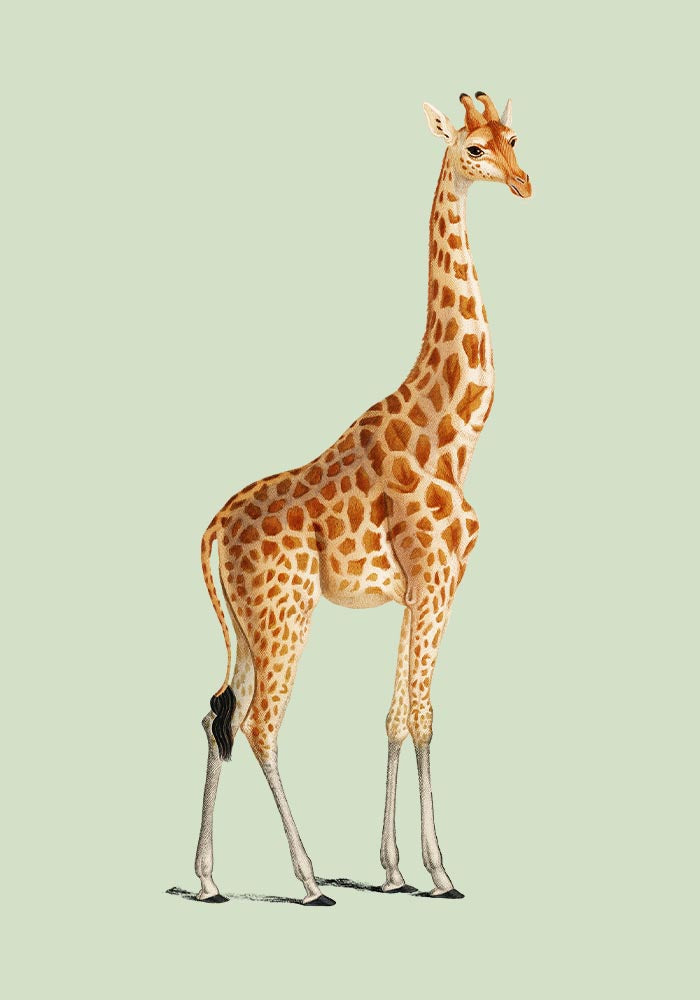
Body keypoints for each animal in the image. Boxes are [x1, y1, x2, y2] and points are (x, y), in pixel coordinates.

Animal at [193, 92, 531, 905]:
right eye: (473, 148)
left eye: (515, 138)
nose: (524, 182)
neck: (454, 434)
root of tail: (215, 525)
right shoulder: (438, 578)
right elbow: (426, 715)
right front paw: (441, 873)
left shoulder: (417, 589)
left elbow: (395, 716)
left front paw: (396, 869)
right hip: (285, 611)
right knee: (260, 724)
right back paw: (310, 881)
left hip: (248, 623)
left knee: (217, 712)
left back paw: (210, 880)